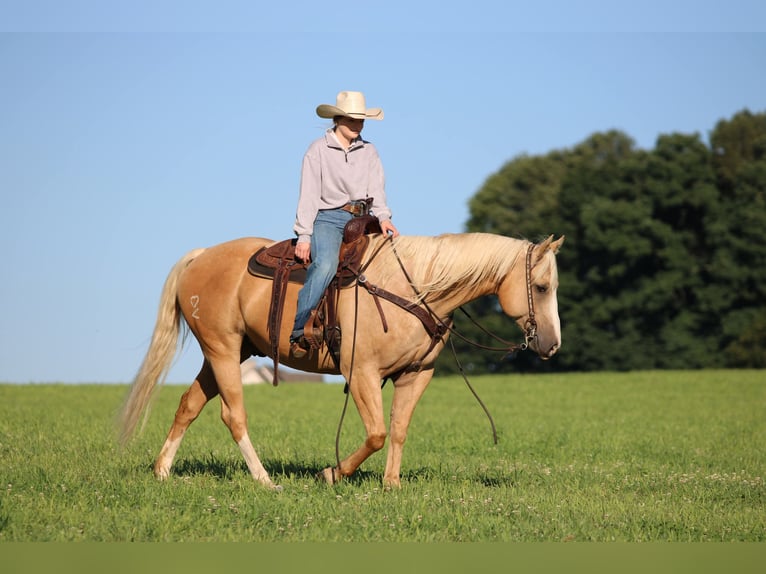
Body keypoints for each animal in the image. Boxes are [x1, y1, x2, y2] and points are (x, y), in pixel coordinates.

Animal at [119, 232, 564, 489]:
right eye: (542, 286)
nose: (552, 345)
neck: (414, 288)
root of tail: (200, 256)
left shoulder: (416, 375)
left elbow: (398, 430)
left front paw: (392, 485)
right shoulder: (362, 372)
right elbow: (377, 433)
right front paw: (332, 473)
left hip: (230, 353)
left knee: (189, 405)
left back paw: (162, 471)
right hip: (222, 350)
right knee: (234, 415)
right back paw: (264, 480)